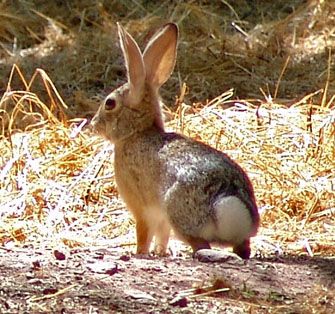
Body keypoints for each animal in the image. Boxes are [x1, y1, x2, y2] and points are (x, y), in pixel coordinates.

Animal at [91, 21, 260, 258]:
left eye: (109, 103)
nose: (93, 124)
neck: (138, 132)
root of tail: (227, 200)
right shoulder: (160, 220)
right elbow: (162, 236)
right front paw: (160, 253)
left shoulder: (142, 208)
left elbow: (144, 233)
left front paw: (140, 253)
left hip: (177, 214)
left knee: (200, 243)